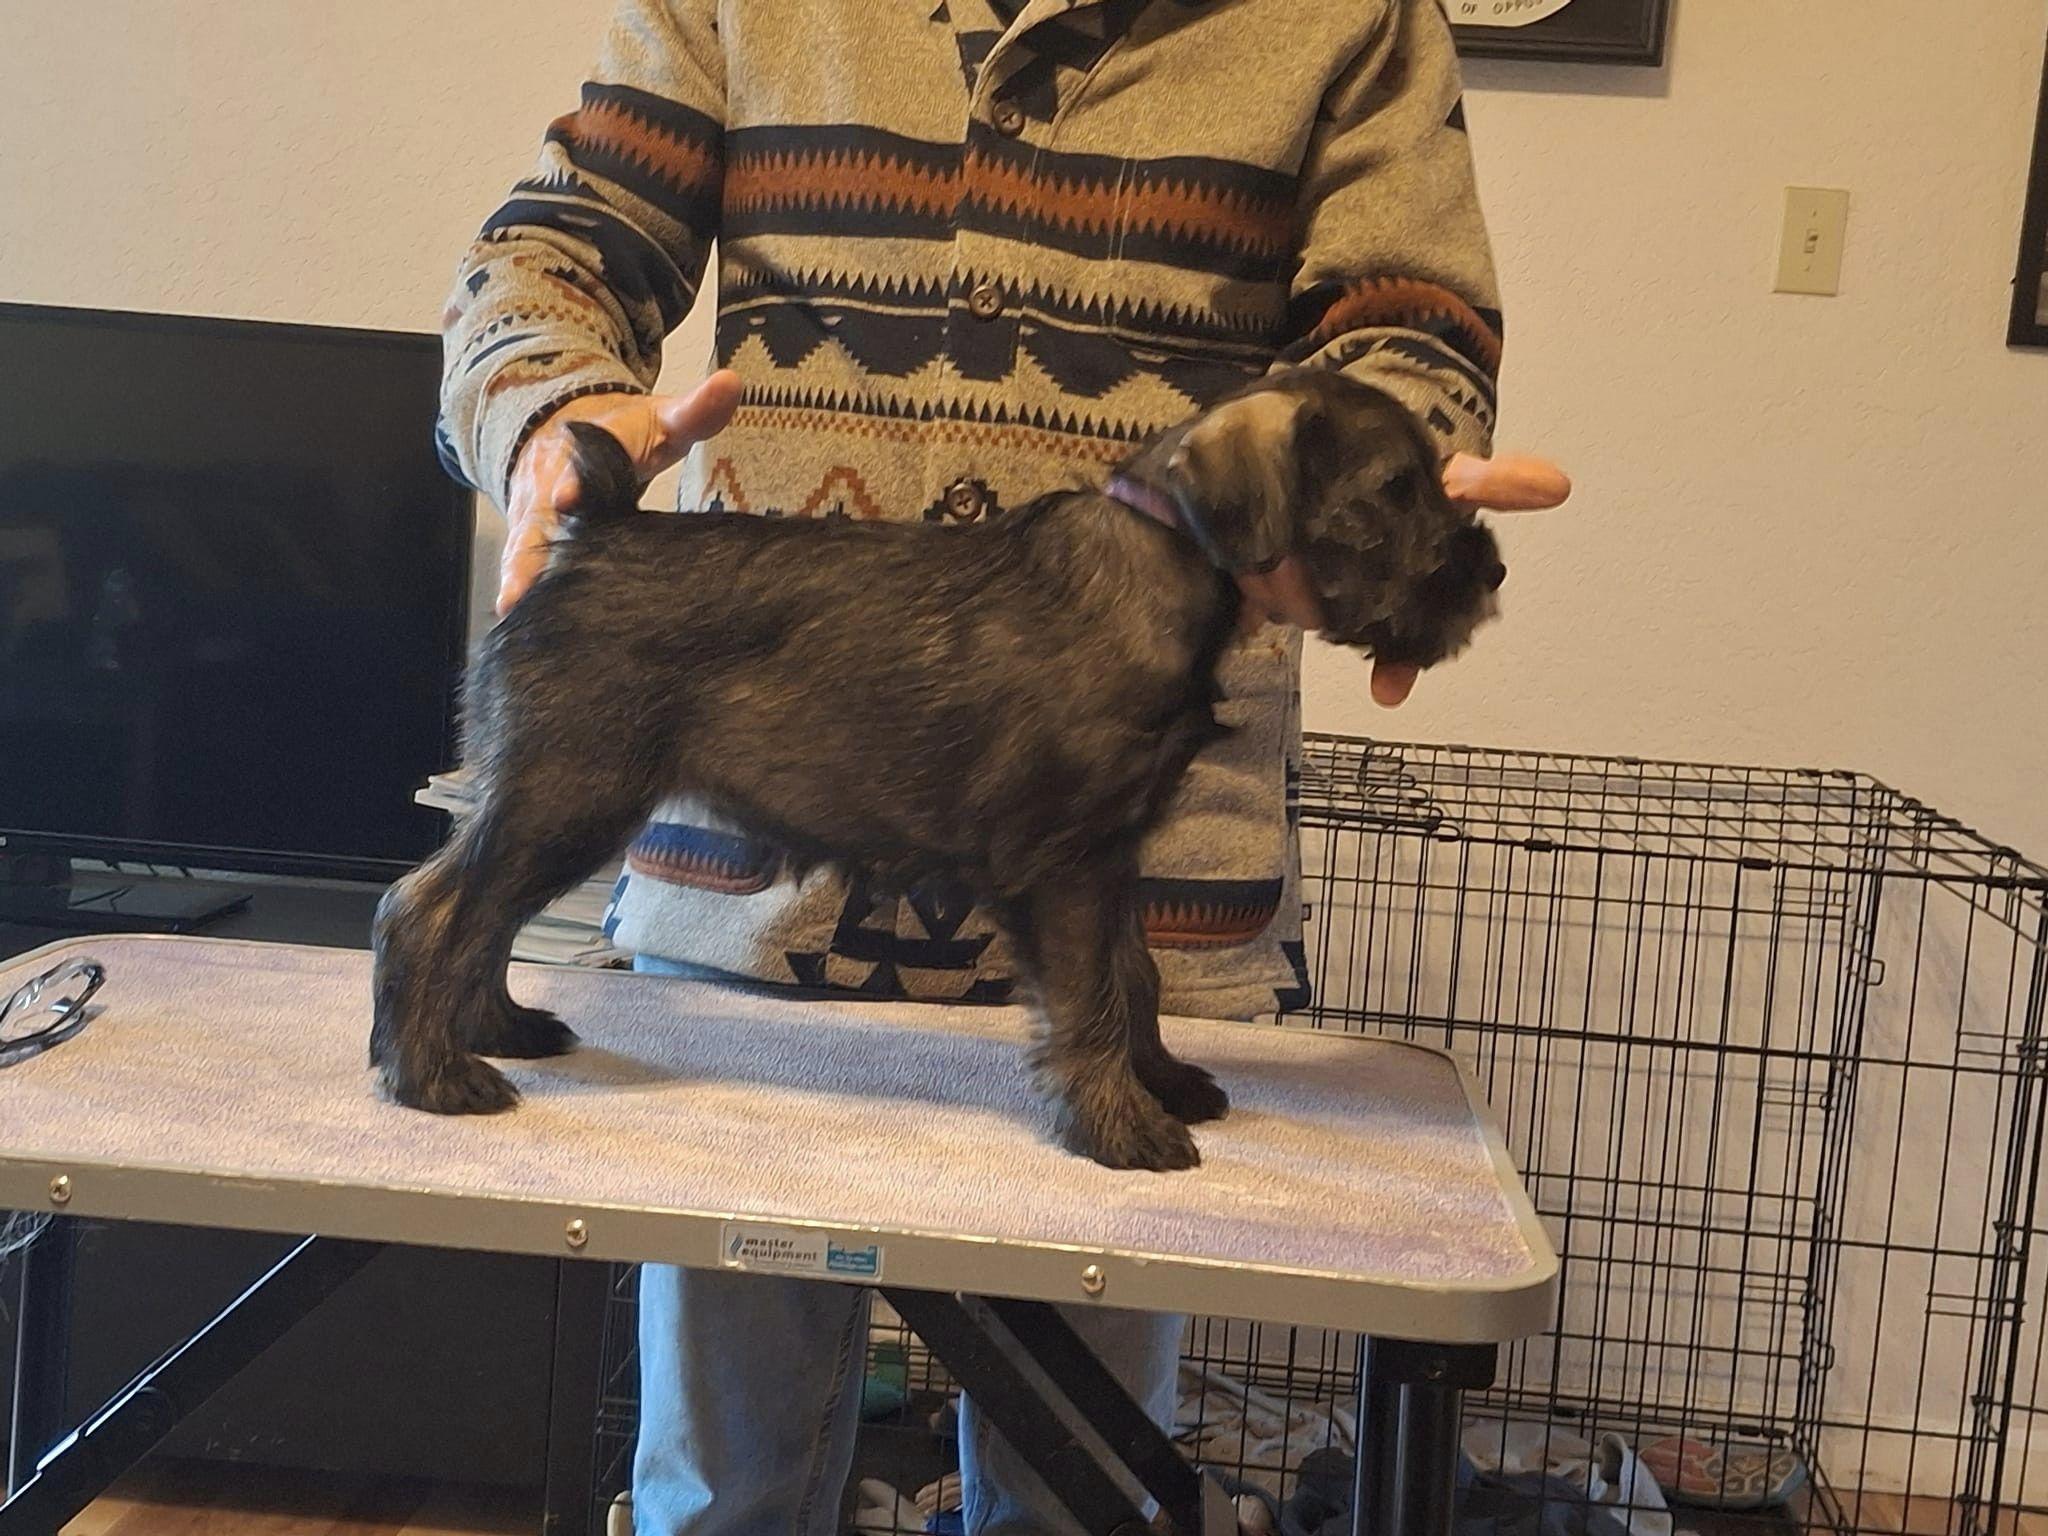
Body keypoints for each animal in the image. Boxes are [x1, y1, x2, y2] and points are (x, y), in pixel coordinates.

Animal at [370, 368, 1506, 1171]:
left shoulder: (1111, 859)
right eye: (1393, 489)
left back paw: (497, 1029)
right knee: (432, 909)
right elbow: (1095, 999)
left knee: (483, 914)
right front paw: (1121, 1126)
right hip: (571, 790)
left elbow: (1135, 978)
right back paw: (434, 1074)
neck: (1160, 563)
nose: (1487, 569)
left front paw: (1163, 1082)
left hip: (560, 800)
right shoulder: (1066, 866)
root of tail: (595, 532)